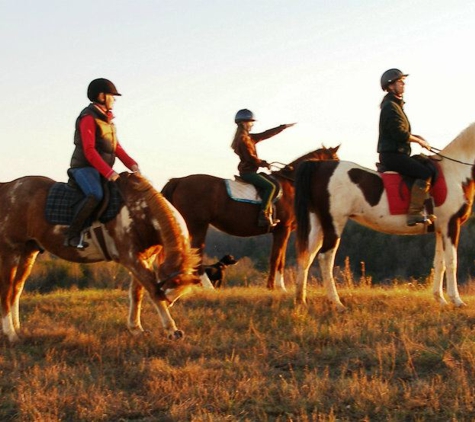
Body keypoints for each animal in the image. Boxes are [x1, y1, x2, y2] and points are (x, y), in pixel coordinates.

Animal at [0, 172, 201, 342]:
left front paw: (136, 329)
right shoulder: (131, 258)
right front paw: (172, 330)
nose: (170, 303)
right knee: (7, 290)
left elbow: (137, 292)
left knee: (17, 289)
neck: (140, 211)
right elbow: (151, 290)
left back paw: (18, 329)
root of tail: (8, 187)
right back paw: (11, 334)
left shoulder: (146, 257)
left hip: (28, 251)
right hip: (11, 250)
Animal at [162, 145, 340, 290]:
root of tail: (178, 181)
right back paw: (206, 287)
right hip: (198, 225)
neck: (291, 184)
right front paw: (275, 287)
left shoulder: (281, 231)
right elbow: (276, 258)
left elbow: (279, 258)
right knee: (197, 253)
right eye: (337, 160)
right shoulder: (283, 229)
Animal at [294, 122, 475, 310]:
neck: (455, 172)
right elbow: (452, 262)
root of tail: (320, 166)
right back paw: (336, 303)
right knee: (325, 258)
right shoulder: (451, 225)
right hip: (334, 224)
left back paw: (301, 300)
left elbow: (439, 263)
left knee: (306, 256)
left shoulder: (440, 229)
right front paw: (457, 301)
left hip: (318, 223)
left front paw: (440, 300)